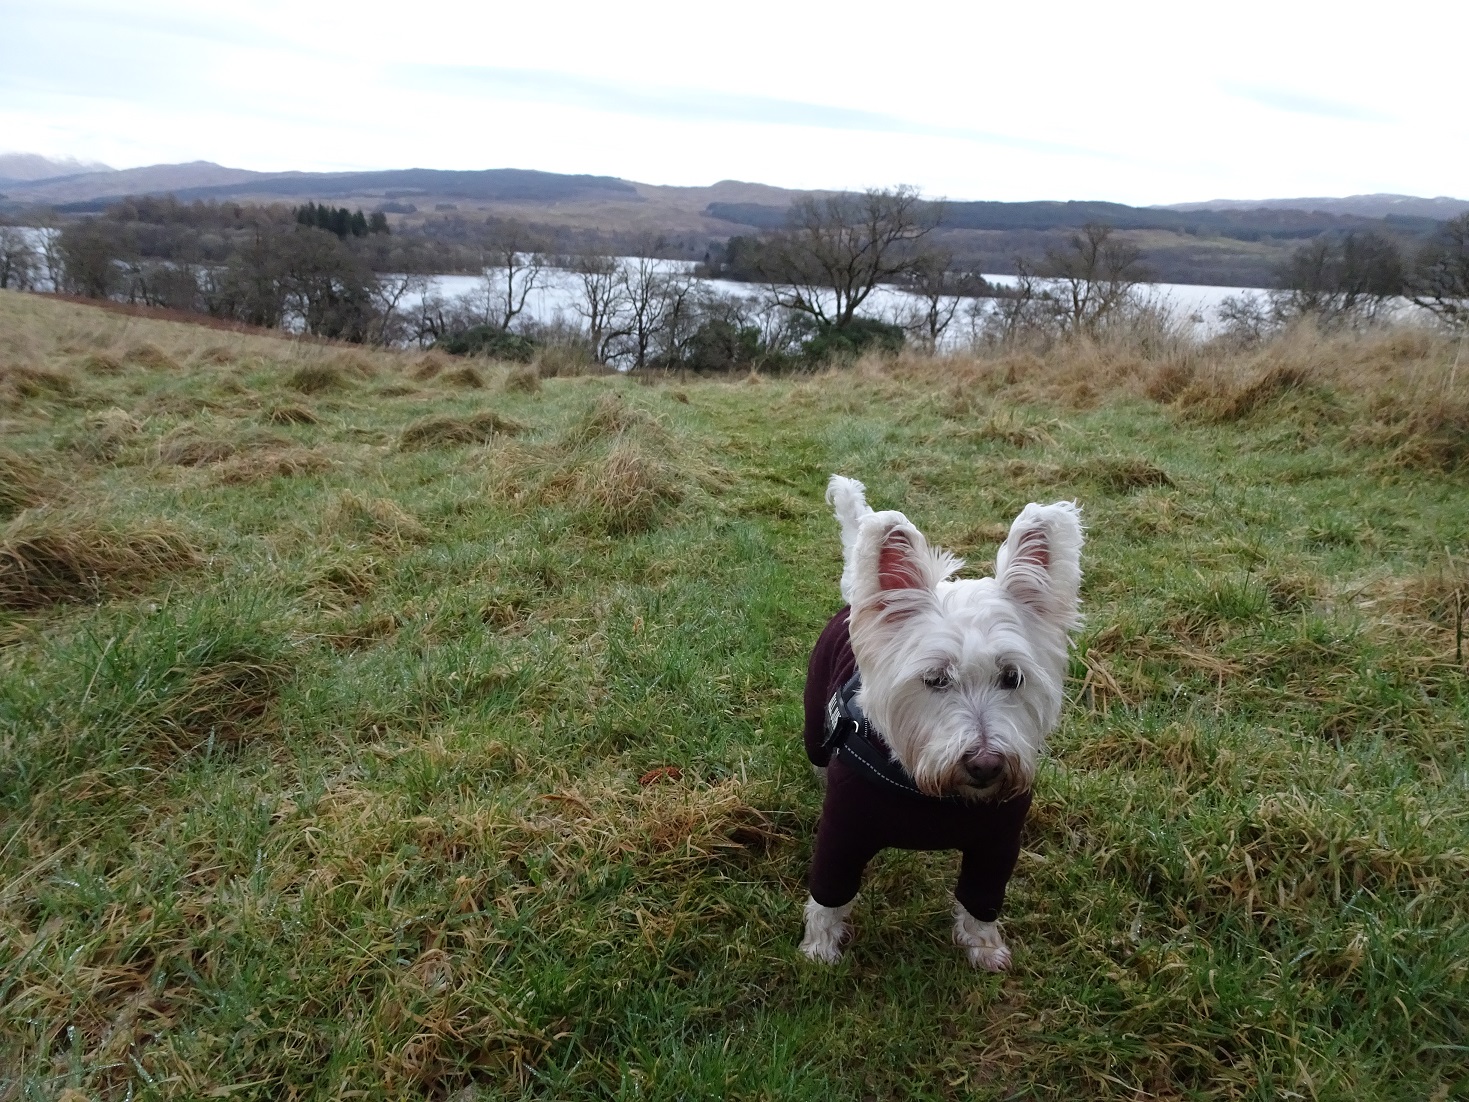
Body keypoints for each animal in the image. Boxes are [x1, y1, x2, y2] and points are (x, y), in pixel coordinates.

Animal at [805, 479, 1081, 969]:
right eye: (935, 678)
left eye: (1012, 677)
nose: (986, 765)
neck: (930, 793)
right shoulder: (843, 835)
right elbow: (829, 896)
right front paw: (819, 949)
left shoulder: (997, 844)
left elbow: (981, 901)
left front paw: (985, 949)